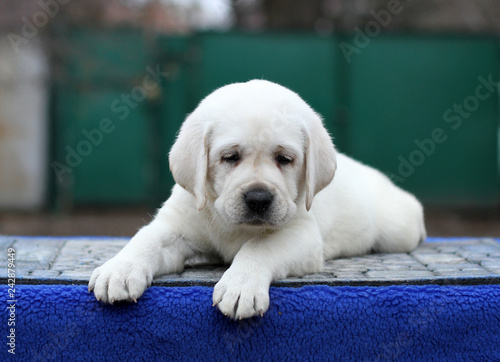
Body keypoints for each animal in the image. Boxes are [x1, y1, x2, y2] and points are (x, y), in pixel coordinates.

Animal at [90, 80, 426, 320]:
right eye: (230, 157)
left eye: (285, 159)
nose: (258, 198)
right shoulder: (176, 224)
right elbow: (146, 239)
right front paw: (119, 269)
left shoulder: (301, 234)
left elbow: (259, 247)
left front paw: (241, 285)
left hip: (397, 230)